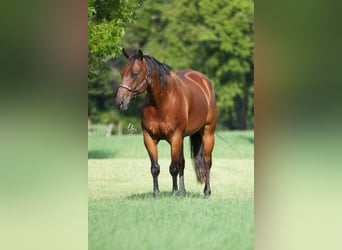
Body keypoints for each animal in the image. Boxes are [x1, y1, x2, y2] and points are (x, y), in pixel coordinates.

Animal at [115, 48, 216, 197]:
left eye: (135, 73)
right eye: (122, 73)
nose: (120, 101)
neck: (162, 103)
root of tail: (203, 80)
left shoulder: (175, 137)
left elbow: (173, 167)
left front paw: (174, 192)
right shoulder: (149, 138)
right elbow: (155, 168)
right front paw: (157, 193)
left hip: (207, 133)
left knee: (206, 162)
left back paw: (206, 191)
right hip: (182, 138)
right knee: (183, 163)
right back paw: (183, 192)